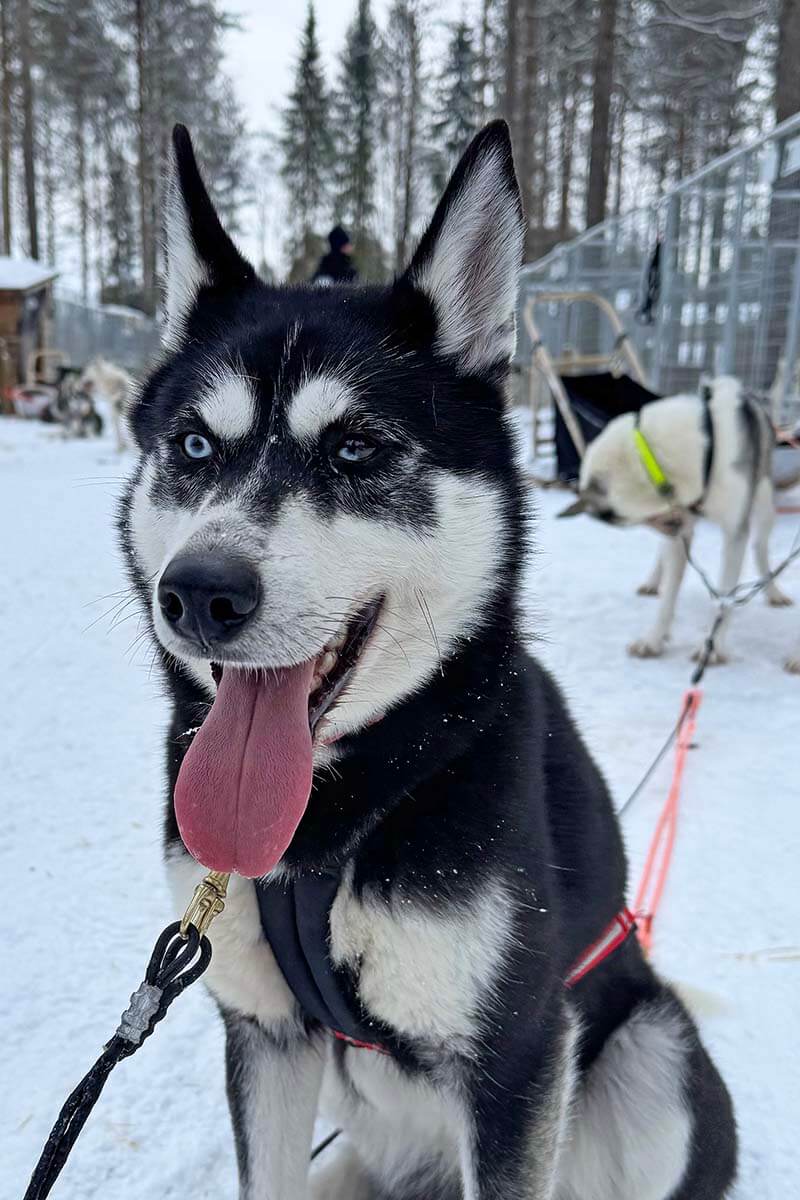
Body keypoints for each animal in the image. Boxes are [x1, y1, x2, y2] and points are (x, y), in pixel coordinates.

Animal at [120, 121, 738, 1200]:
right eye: (193, 446)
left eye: (356, 451)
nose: (197, 593)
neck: (332, 824)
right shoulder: (265, 1033)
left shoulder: (516, 1060)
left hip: (648, 1052)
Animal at [561, 379, 791, 667]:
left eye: (615, 519)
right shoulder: (678, 524)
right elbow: (669, 592)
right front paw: (653, 639)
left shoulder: (732, 532)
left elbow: (724, 597)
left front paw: (712, 647)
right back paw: (652, 581)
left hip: (764, 507)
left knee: (760, 549)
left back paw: (773, 591)